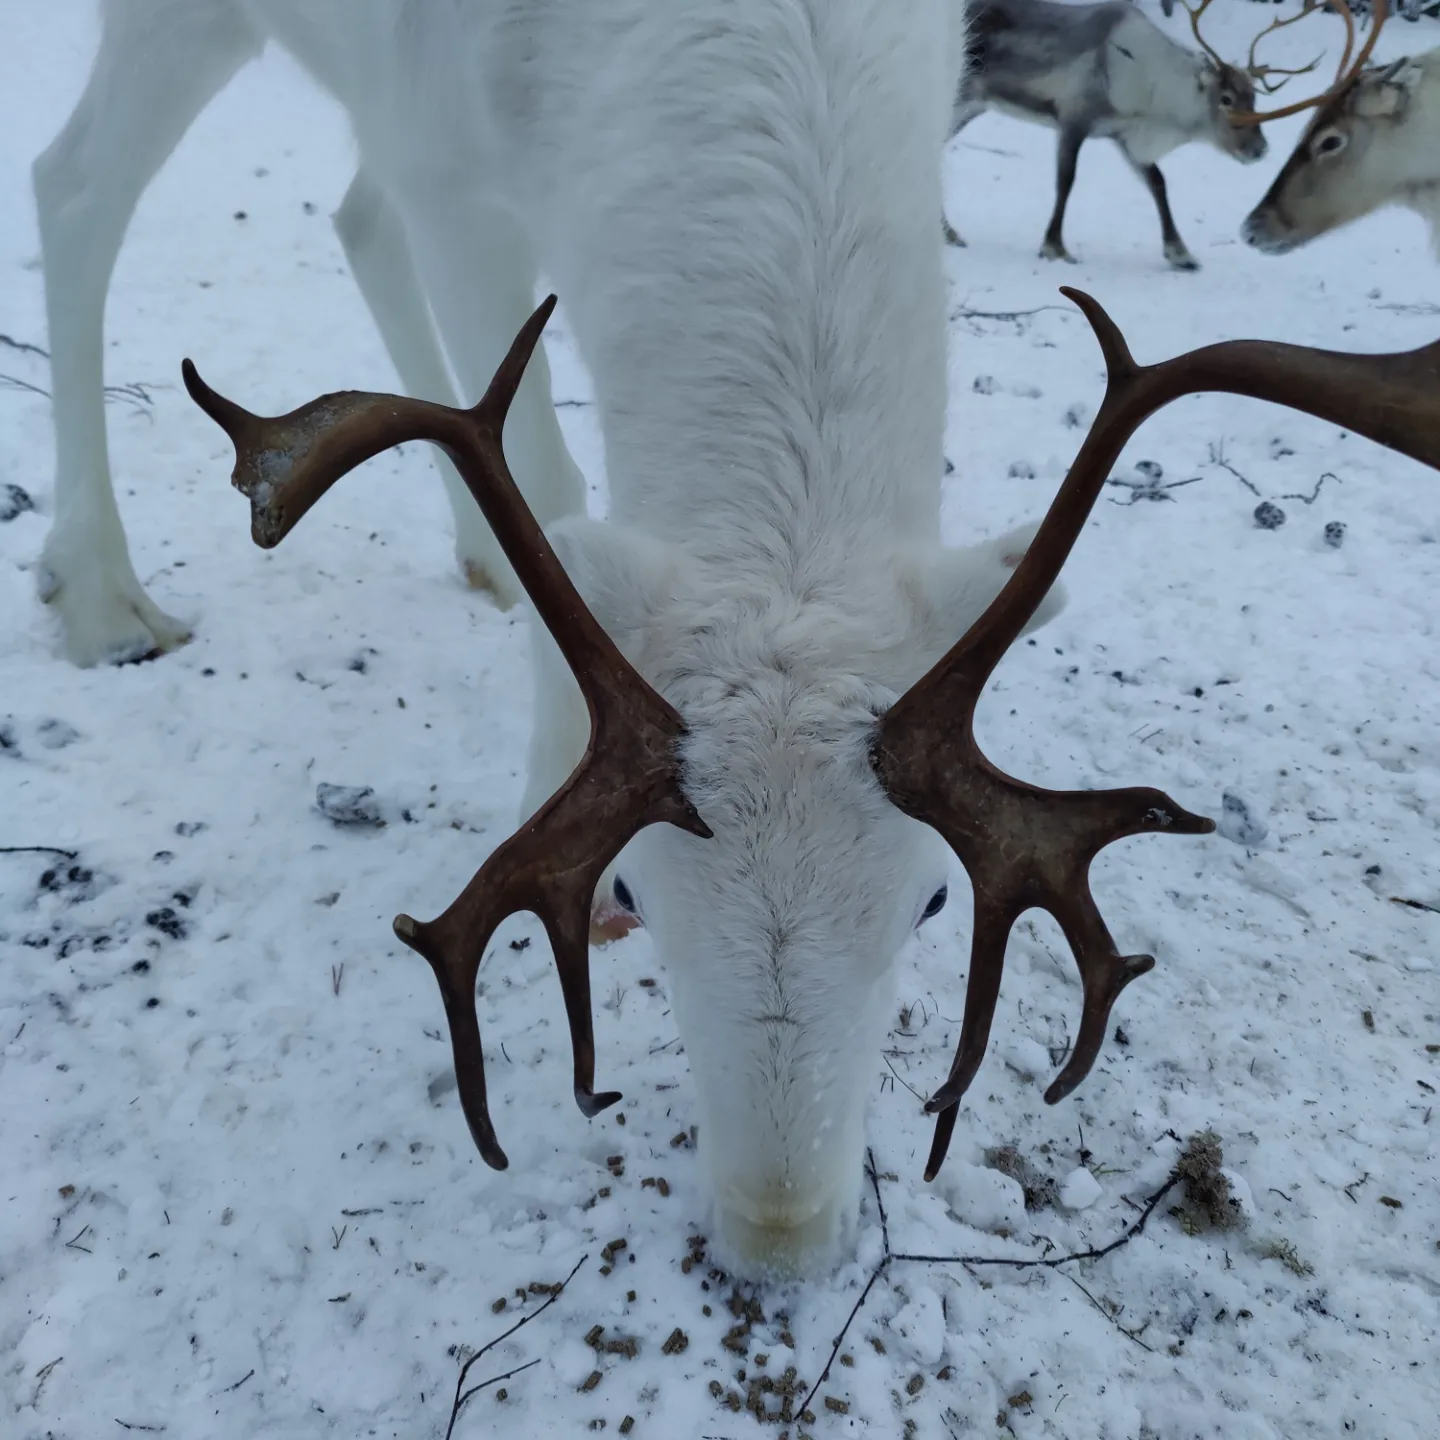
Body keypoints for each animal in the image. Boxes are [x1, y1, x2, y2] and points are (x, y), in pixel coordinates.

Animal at [944, 0, 1269, 270]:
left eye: (1253, 97)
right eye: (1226, 99)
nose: (1261, 149)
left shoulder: (1125, 138)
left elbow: (1158, 183)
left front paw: (1181, 254)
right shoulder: (1074, 119)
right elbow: (1066, 181)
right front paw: (1055, 247)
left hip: (973, 106)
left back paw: (949, 232)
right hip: (960, 98)